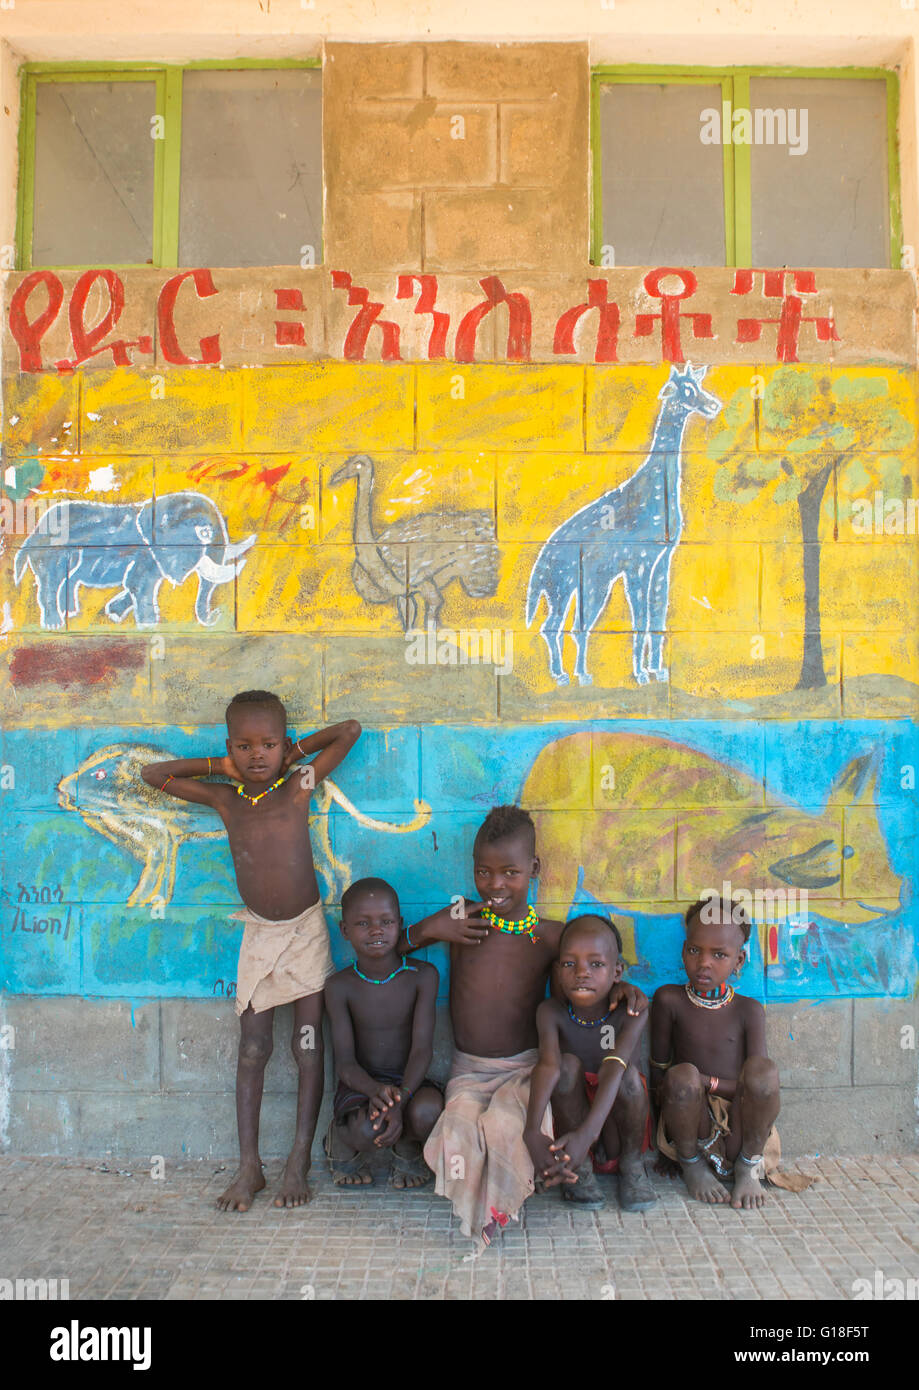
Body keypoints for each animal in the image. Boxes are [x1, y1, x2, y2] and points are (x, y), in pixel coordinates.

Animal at [14, 492, 255, 628]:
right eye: (204, 533)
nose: (217, 615)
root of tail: (31, 534)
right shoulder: (146, 553)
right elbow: (139, 584)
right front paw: (148, 627)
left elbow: (139, 585)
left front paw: (113, 613)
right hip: (51, 553)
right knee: (51, 581)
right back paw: (54, 625)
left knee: (70, 579)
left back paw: (71, 613)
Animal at [525, 358, 722, 683]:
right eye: (687, 390)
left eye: (700, 385)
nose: (714, 405)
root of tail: (541, 562)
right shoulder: (638, 563)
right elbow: (640, 619)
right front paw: (641, 674)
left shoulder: (663, 560)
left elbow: (658, 618)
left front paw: (658, 671)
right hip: (570, 584)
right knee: (558, 626)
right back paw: (567, 676)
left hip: (582, 584)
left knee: (567, 626)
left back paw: (576, 674)